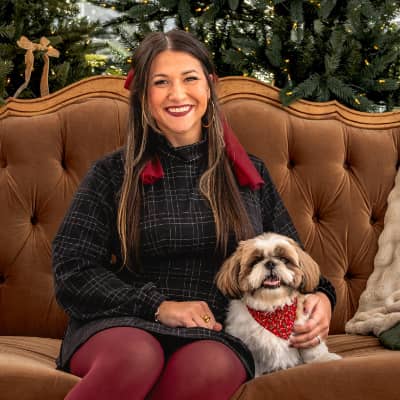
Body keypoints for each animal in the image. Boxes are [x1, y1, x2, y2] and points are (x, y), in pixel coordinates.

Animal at [215, 232, 341, 376]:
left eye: (283, 259)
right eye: (255, 261)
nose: (270, 263)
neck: (271, 307)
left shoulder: (304, 328)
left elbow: (311, 349)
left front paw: (323, 359)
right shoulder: (249, 344)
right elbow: (255, 365)